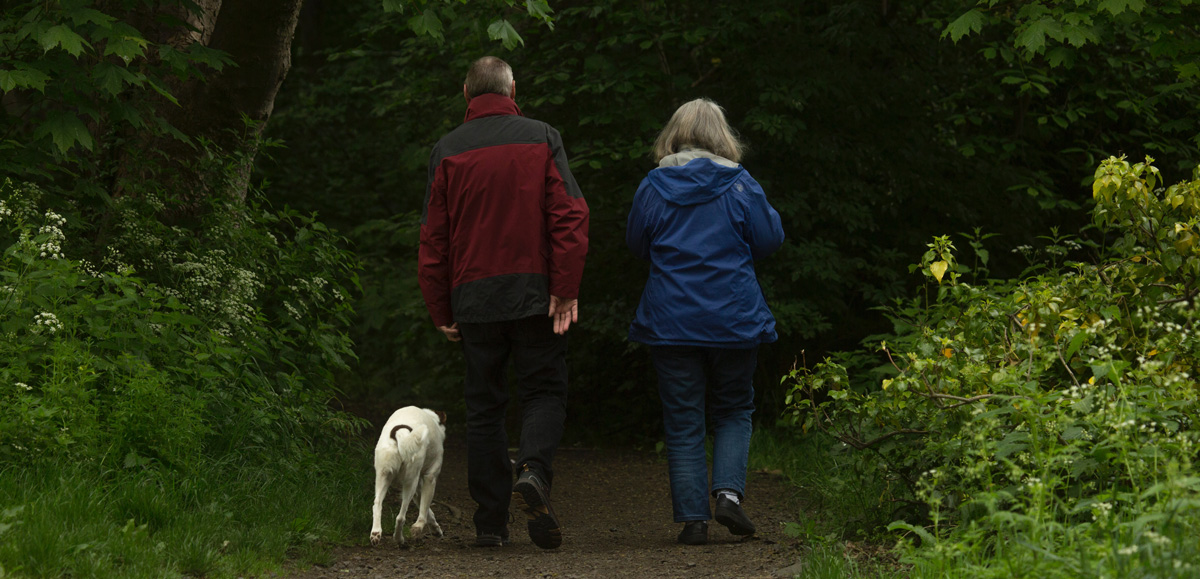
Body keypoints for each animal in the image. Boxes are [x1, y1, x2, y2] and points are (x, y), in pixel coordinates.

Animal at [369, 406, 446, 545]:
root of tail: (401, 433)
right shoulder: (429, 478)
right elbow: (424, 511)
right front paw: (419, 527)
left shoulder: (418, 490)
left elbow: (428, 512)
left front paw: (436, 529)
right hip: (410, 482)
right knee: (400, 517)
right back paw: (399, 539)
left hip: (383, 477)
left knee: (377, 504)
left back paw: (376, 533)